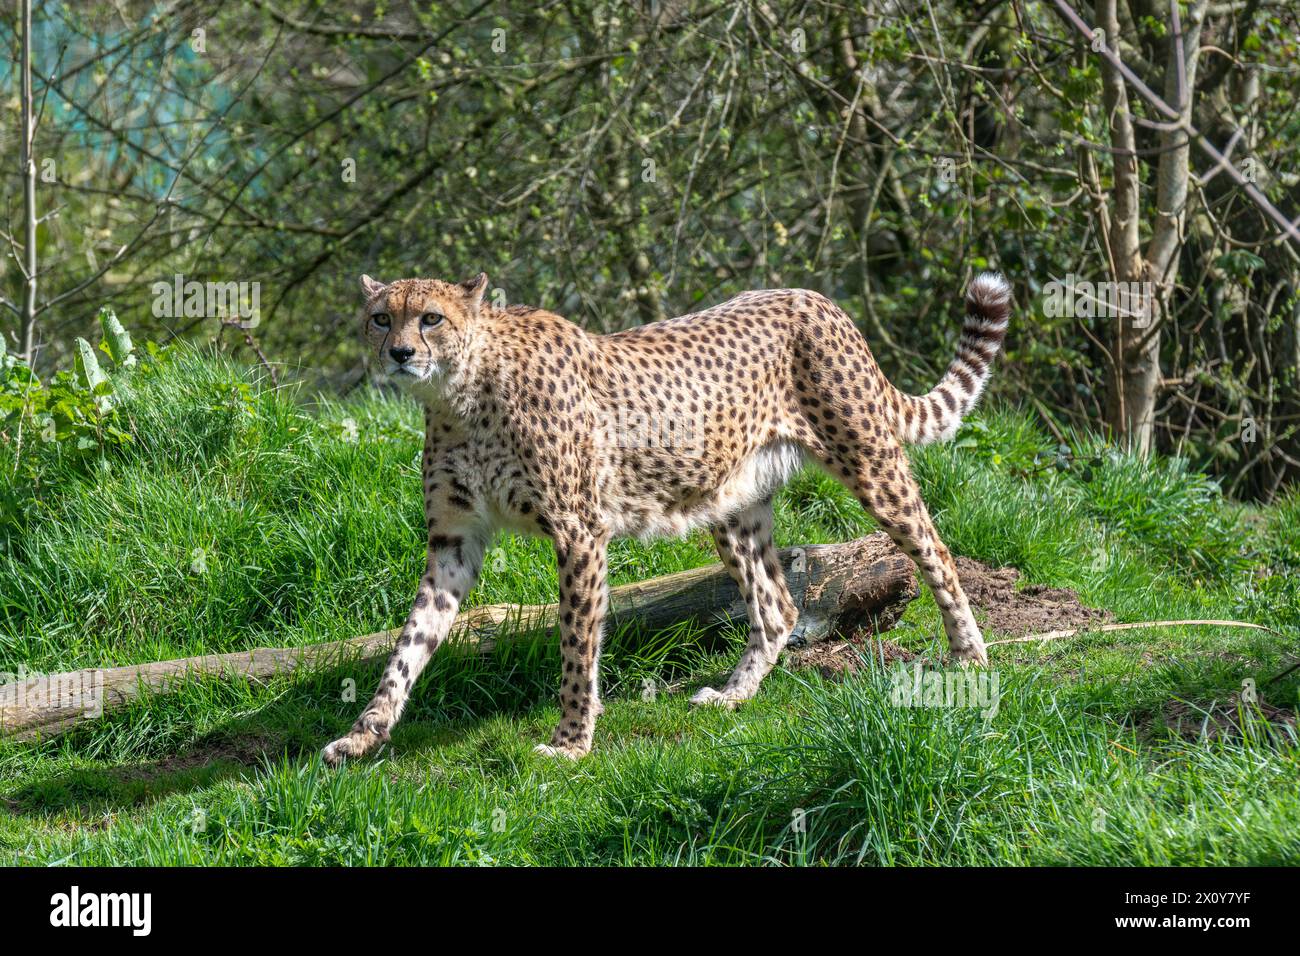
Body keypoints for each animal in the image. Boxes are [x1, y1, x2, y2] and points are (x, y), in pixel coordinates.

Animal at [322, 269, 1011, 763]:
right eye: (381, 318)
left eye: (430, 318)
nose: (399, 353)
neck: (459, 393)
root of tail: (816, 297)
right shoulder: (453, 541)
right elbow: (409, 644)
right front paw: (364, 734)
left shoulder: (579, 531)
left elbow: (577, 644)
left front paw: (571, 742)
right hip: (730, 503)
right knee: (777, 604)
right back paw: (733, 695)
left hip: (870, 461)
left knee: (935, 550)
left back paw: (970, 655)